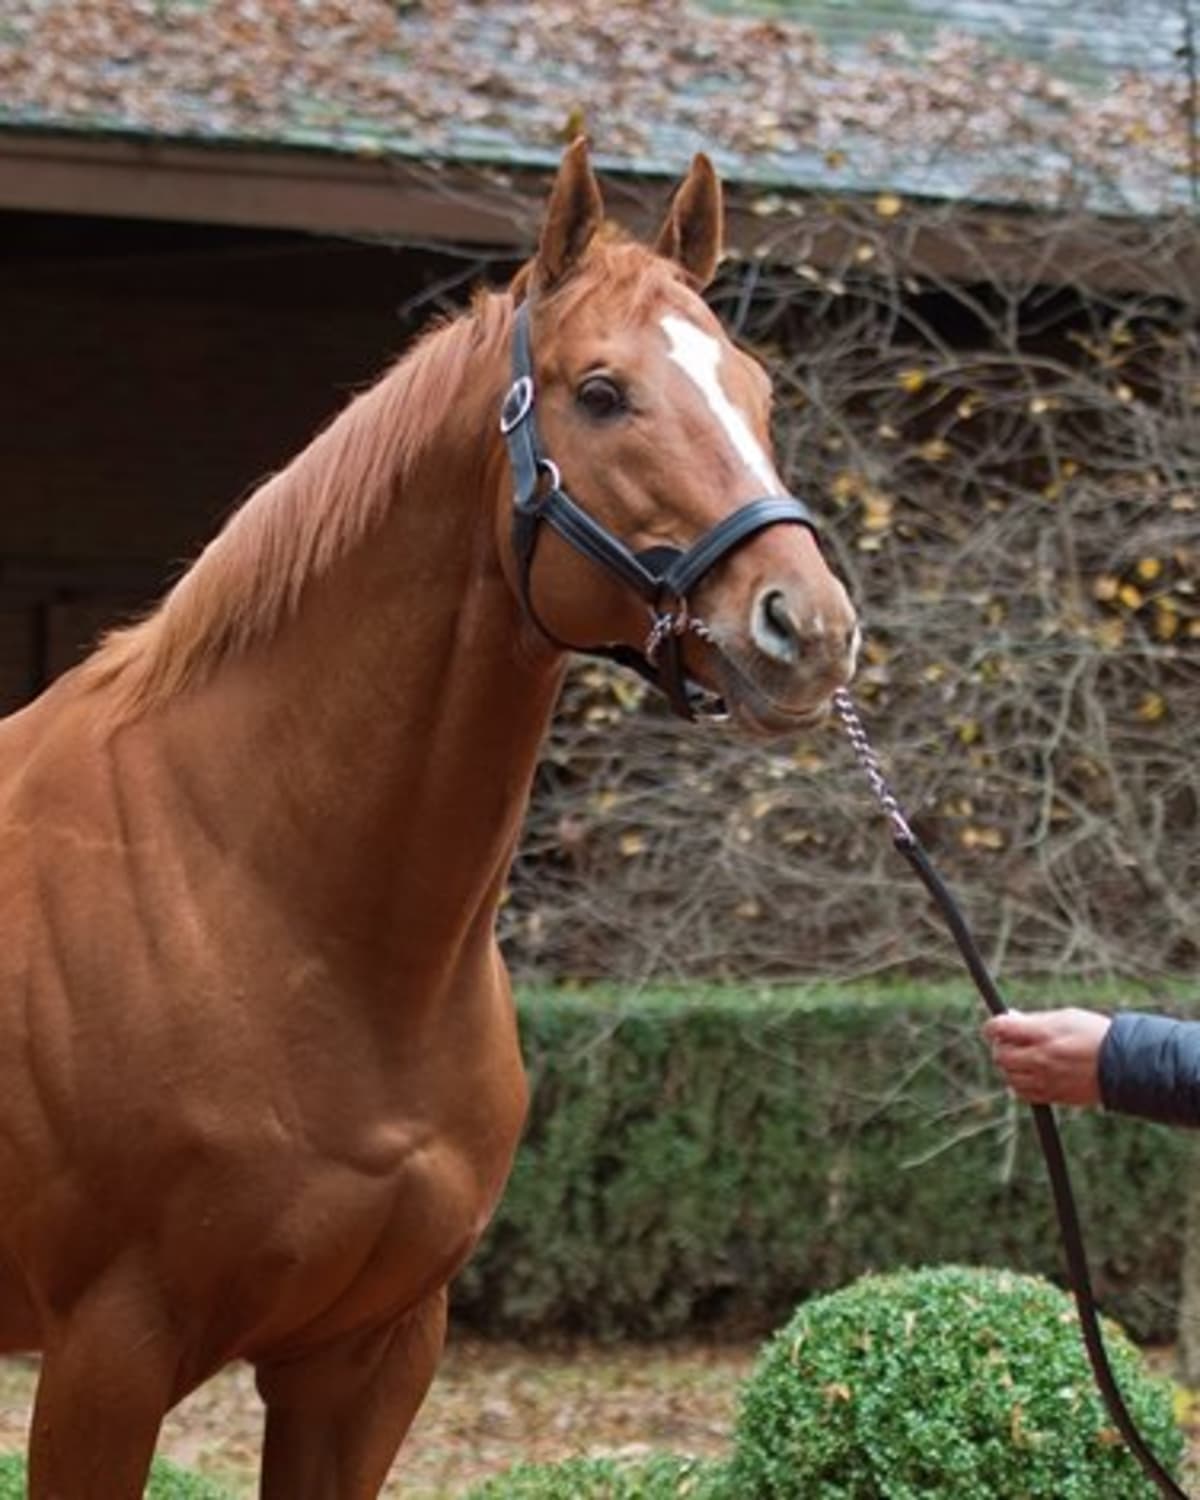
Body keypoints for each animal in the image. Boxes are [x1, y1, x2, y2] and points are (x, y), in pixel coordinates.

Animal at [0, 138, 858, 1497]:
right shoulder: (106, 1358)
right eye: (601, 392)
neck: (250, 888)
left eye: (758, 394)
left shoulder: (372, 1361)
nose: (806, 627)